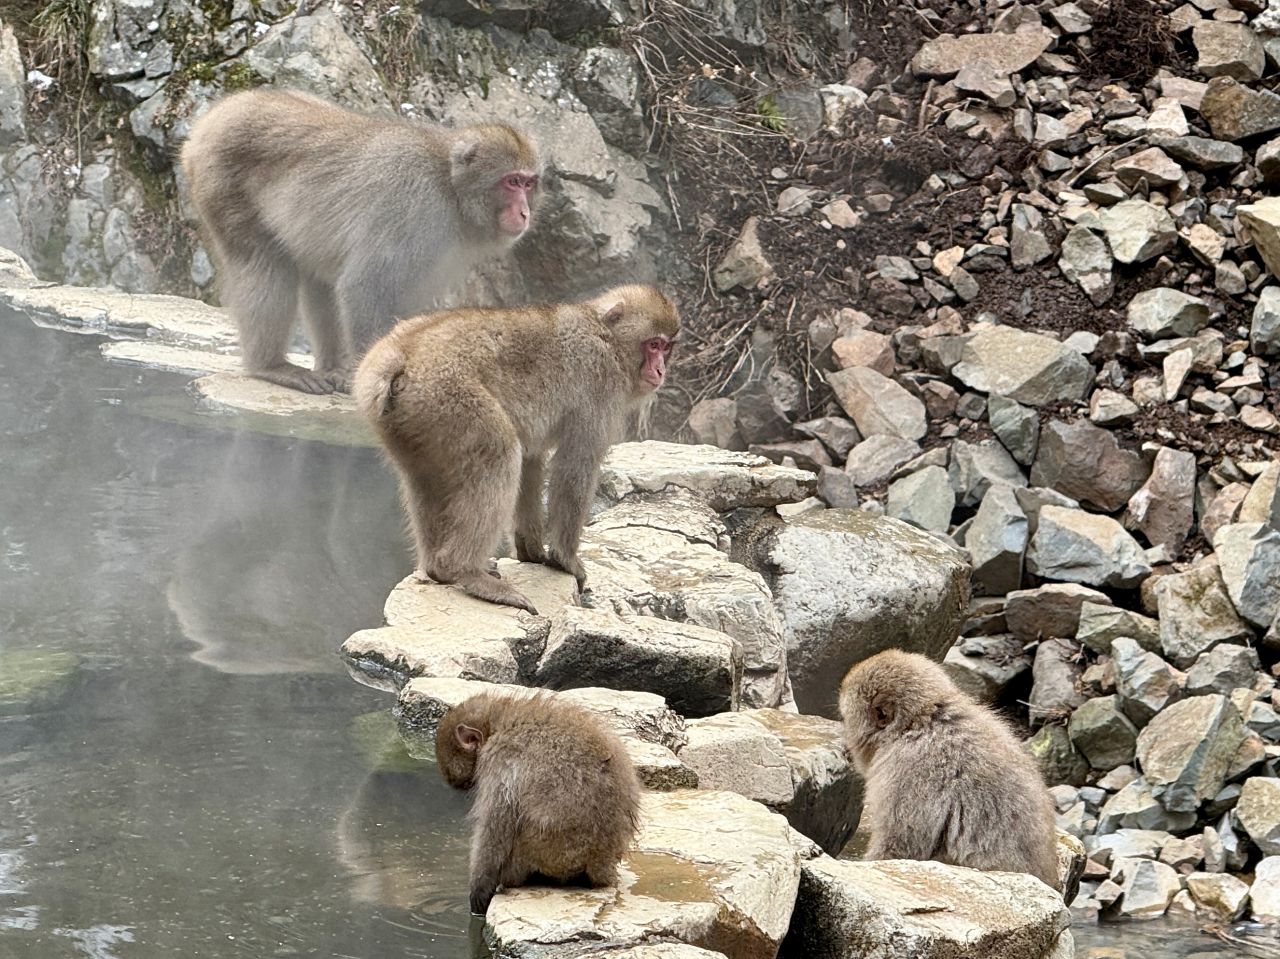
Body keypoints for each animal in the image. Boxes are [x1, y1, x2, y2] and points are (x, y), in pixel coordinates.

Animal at [180, 88, 541, 395]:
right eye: (511, 182)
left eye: (528, 183)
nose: (524, 213)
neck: (451, 187)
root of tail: (218, 114)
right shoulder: (415, 208)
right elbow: (365, 287)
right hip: (221, 181)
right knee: (263, 263)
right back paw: (270, 366)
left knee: (318, 278)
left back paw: (331, 367)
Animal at [354, 284, 679, 613]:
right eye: (653, 345)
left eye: (666, 348)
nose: (660, 370)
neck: (607, 336)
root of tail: (401, 351)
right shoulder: (601, 385)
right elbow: (575, 466)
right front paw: (566, 560)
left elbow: (532, 459)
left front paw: (531, 550)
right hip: (447, 396)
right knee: (500, 455)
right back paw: (465, 571)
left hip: (412, 420)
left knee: (425, 475)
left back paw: (435, 568)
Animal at [436, 692, 642, 914]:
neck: (498, 723)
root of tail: (601, 864)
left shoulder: (499, 760)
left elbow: (494, 830)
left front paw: (479, 893)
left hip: (545, 856)